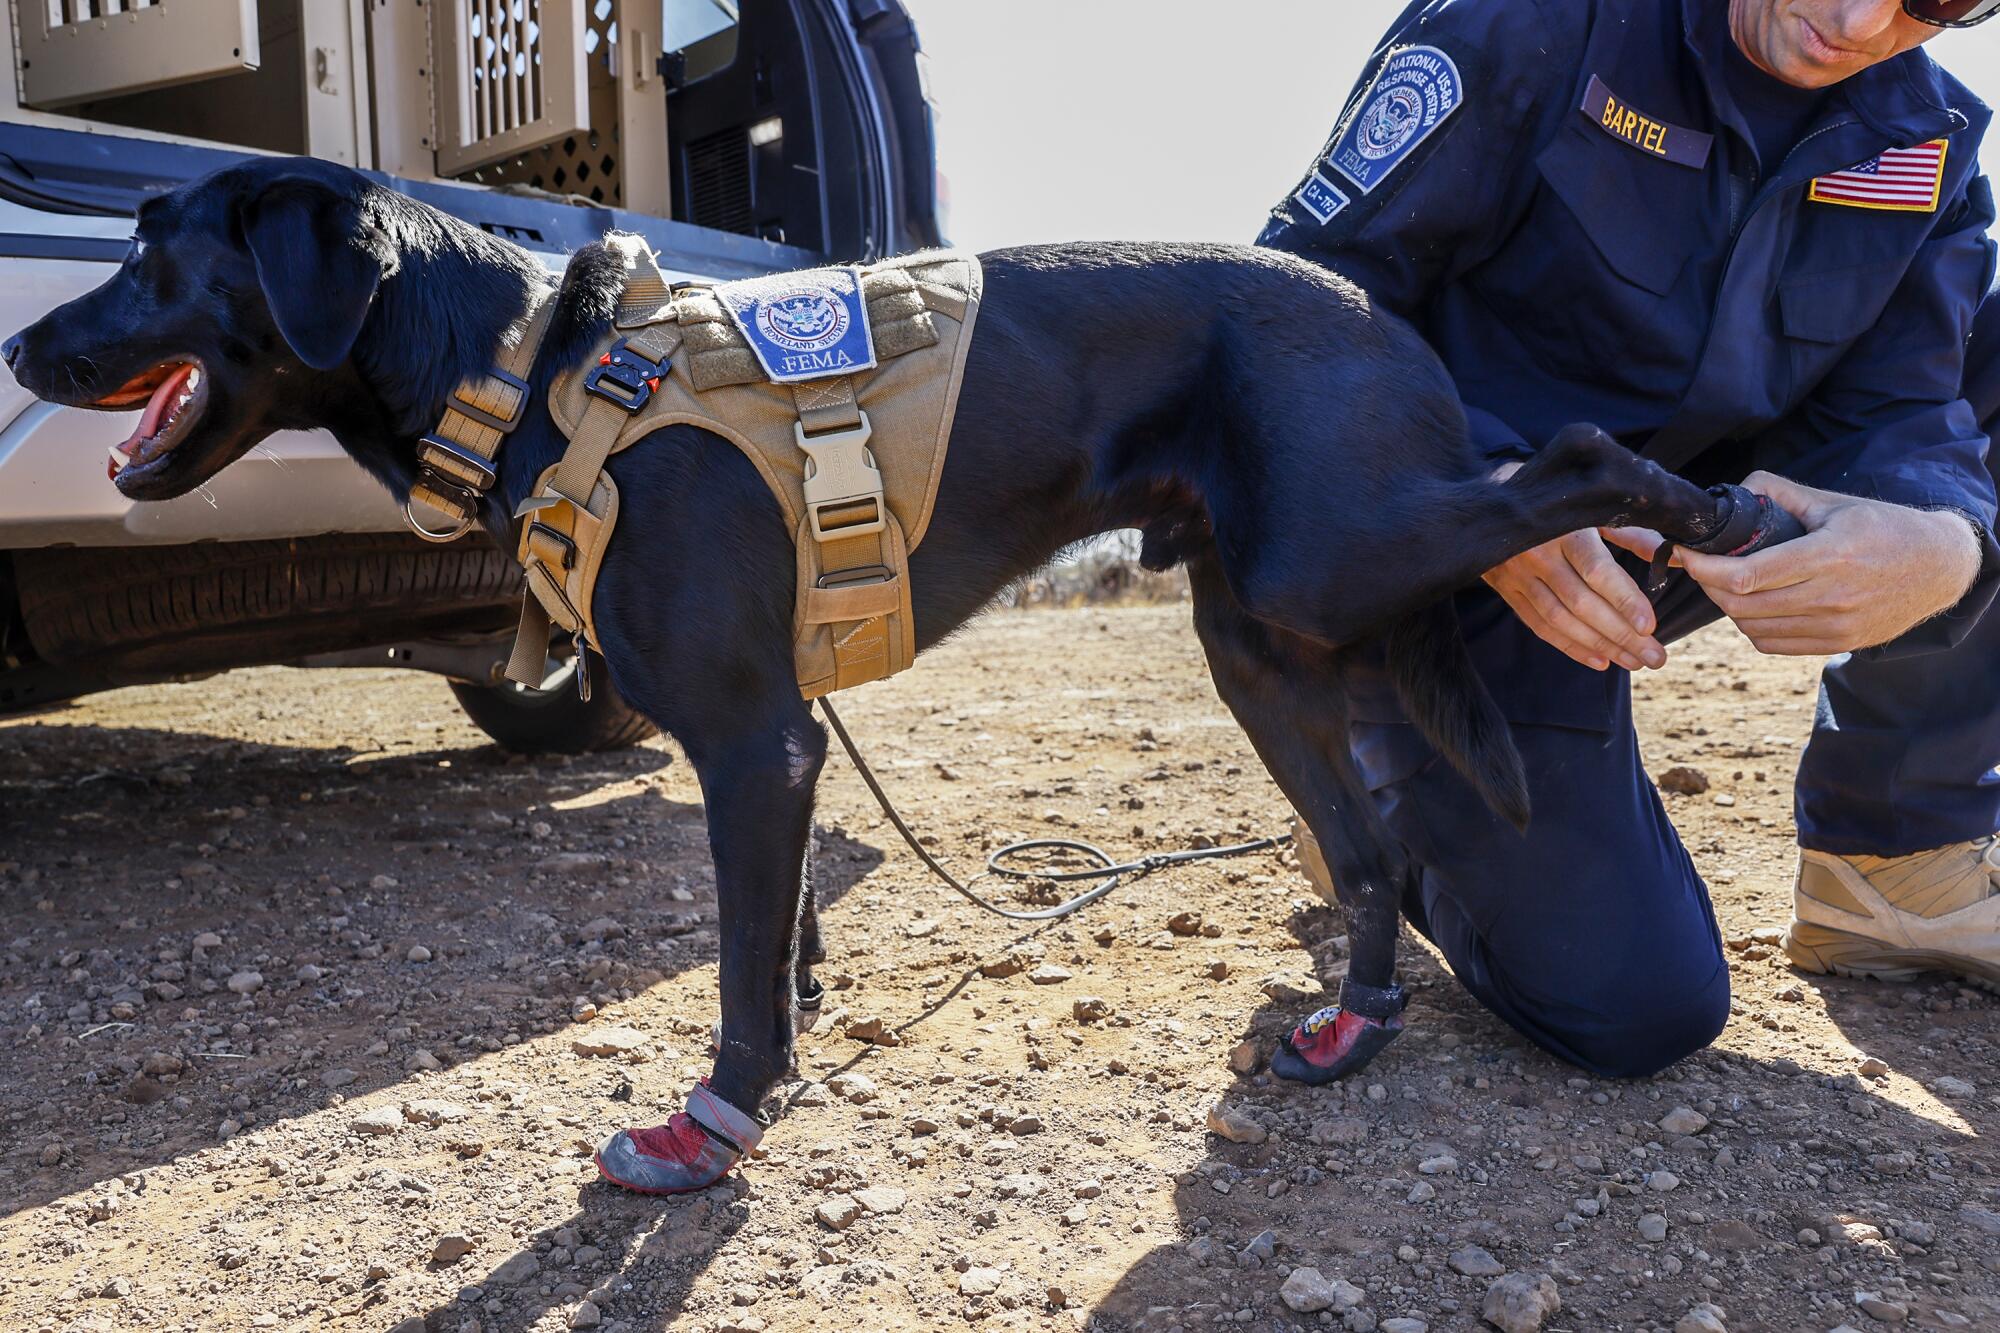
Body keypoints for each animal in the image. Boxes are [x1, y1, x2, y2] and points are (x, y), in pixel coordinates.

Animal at [7, 158, 1744, 1192]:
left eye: (154, 260)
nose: (21, 350)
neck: (533, 369)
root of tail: (1382, 314)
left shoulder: (751, 739)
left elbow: (735, 969)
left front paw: (713, 1122)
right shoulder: (782, 744)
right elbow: (780, 938)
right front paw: (780, 1058)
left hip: (1337, 549)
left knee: (1572, 459)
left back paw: (1705, 513)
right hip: (1260, 638)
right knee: (1373, 838)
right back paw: (1356, 1023)